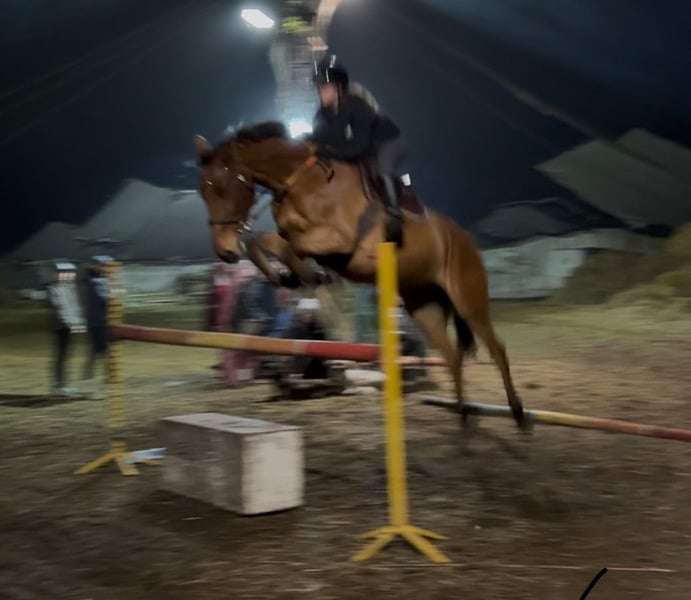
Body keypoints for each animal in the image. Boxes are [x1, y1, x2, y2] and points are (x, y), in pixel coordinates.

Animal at [193, 121, 526, 429]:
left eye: (222, 188)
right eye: (202, 192)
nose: (225, 252)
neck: (301, 182)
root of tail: (466, 239)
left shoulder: (338, 241)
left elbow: (288, 246)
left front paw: (308, 276)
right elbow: (262, 242)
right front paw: (285, 277)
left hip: (469, 301)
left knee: (497, 349)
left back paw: (518, 414)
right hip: (424, 308)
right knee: (453, 358)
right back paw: (464, 419)